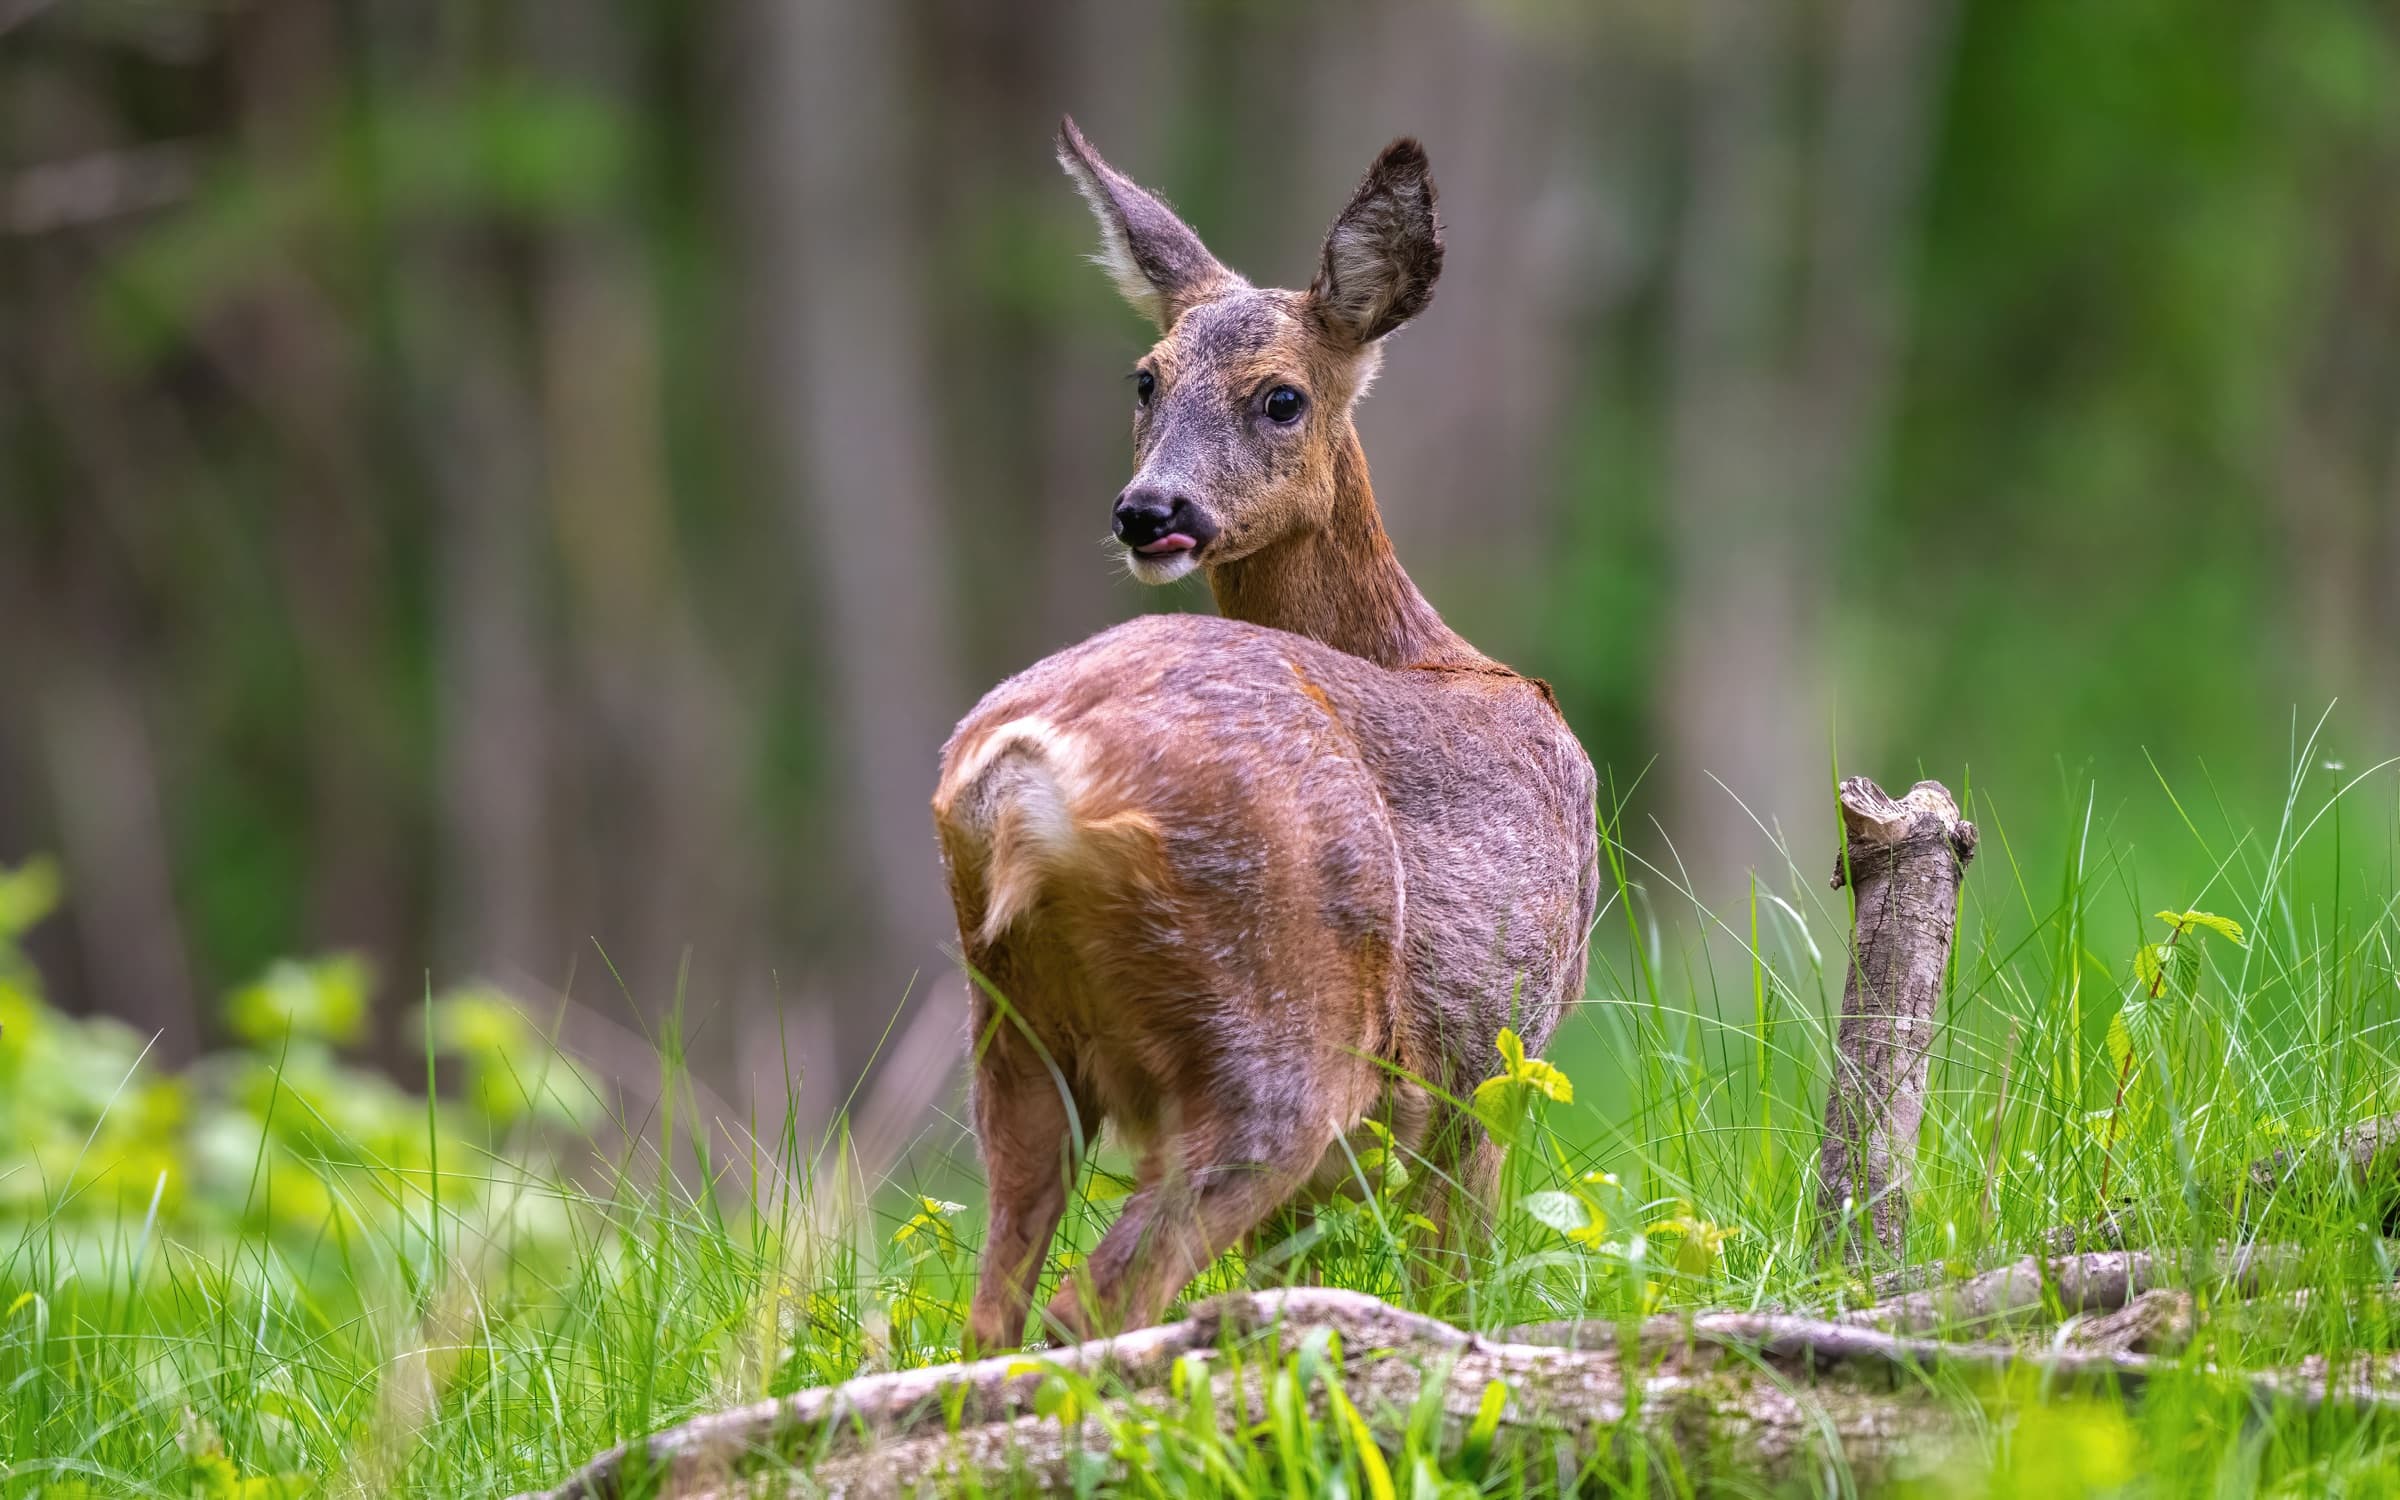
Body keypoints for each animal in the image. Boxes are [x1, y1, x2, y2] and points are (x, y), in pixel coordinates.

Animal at [932, 118, 1599, 1351]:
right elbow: (1456, 1275)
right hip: (1278, 1013)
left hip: (1011, 1025)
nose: (1149, 511)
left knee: (993, 1311)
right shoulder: (1498, 1051)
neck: (1431, 649)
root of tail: (1025, 775)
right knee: (1093, 1302)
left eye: (1282, 398)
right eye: (1147, 379)